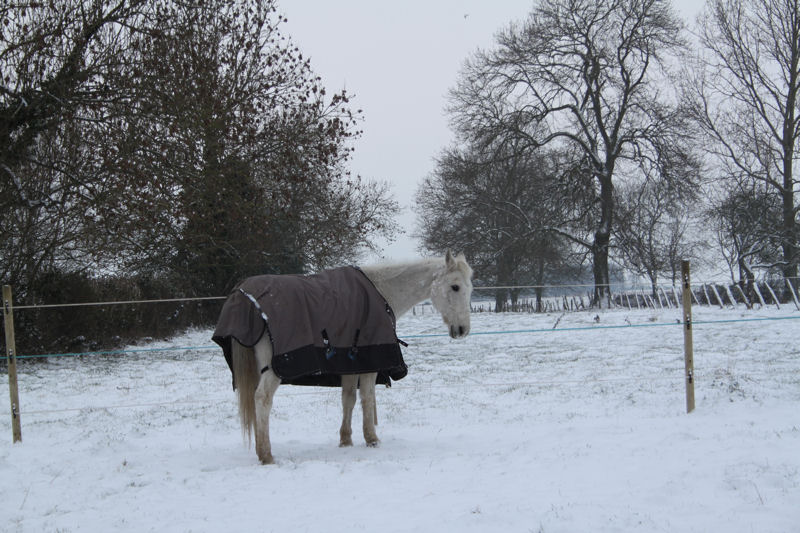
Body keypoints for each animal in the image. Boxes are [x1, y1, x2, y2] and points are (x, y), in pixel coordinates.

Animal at [222, 251, 472, 464]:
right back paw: (266, 455)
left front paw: (346, 439)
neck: (380, 291)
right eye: (455, 286)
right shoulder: (369, 365)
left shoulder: (349, 363)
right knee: (262, 399)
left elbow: (348, 398)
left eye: (469, 289)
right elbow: (367, 398)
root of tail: (243, 295)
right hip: (273, 370)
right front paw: (372, 439)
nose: (463, 330)